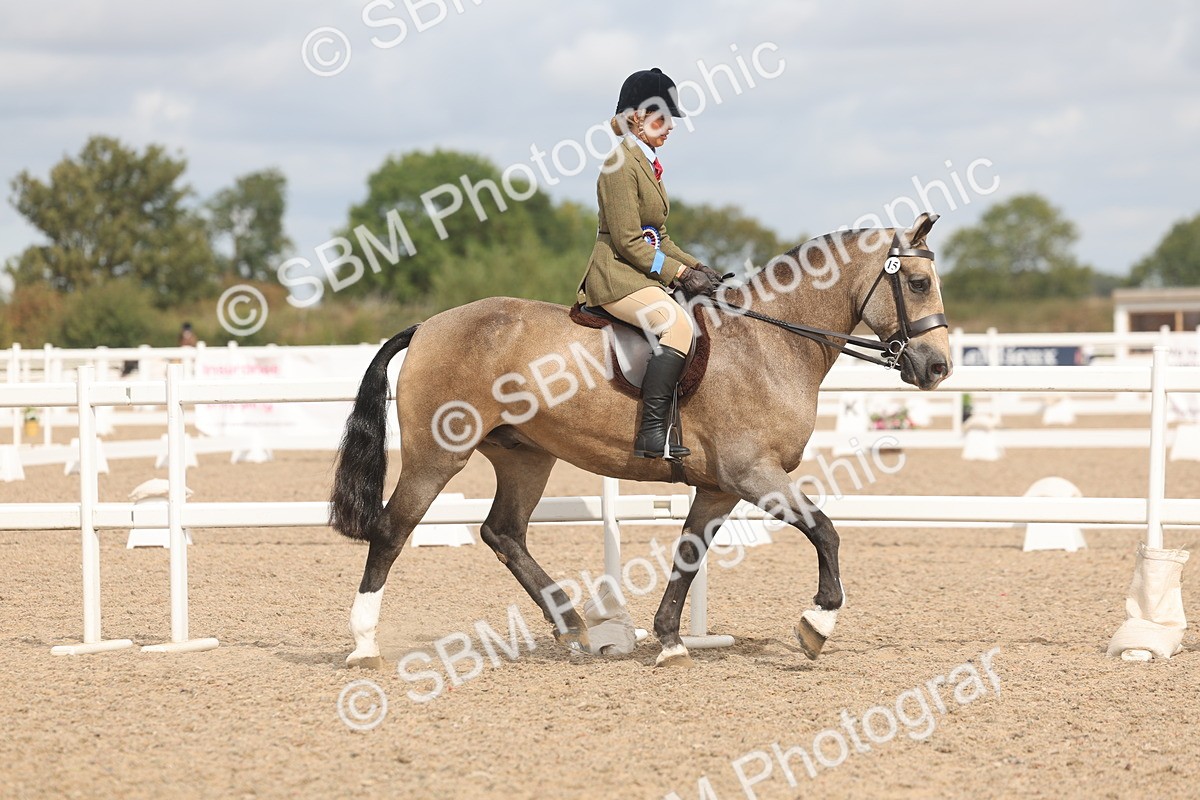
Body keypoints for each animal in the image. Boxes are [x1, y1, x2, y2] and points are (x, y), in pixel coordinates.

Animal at [329, 212, 952, 668]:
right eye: (917, 282)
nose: (937, 366)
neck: (768, 343)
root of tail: (428, 325)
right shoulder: (754, 473)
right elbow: (825, 531)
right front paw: (817, 624)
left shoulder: (721, 487)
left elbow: (688, 554)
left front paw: (671, 641)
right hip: (437, 455)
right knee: (392, 531)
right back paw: (364, 644)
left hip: (524, 456)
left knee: (503, 532)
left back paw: (573, 625)